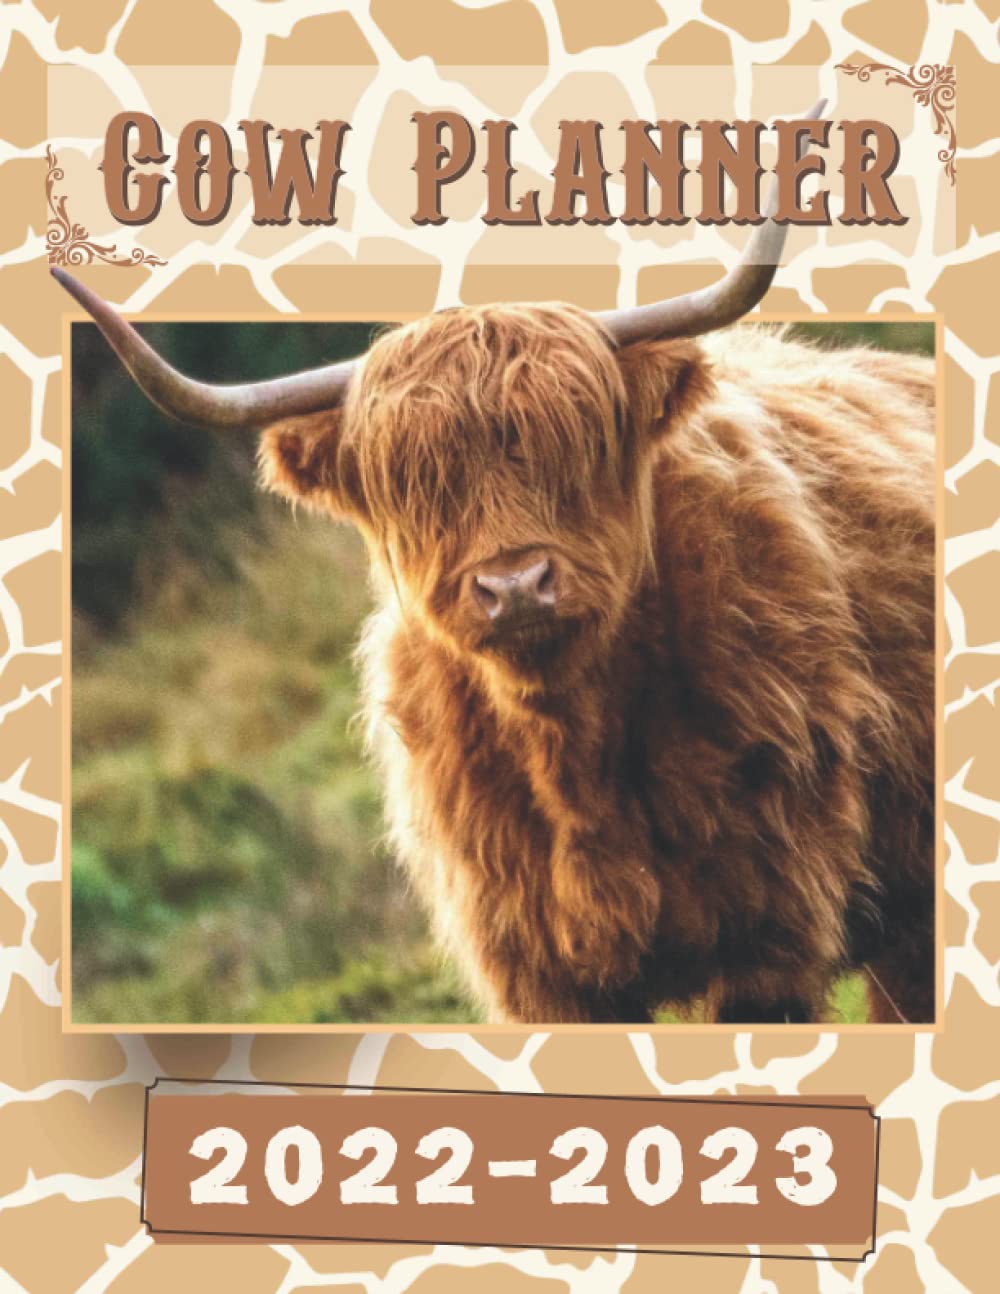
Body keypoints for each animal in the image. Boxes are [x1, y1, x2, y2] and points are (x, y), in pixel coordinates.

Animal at [54, 201, 935, 1026]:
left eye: (580, 443)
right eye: (412, 483)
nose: (514, 586)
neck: (574, 753)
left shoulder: (768, 937)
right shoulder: (535, 972)